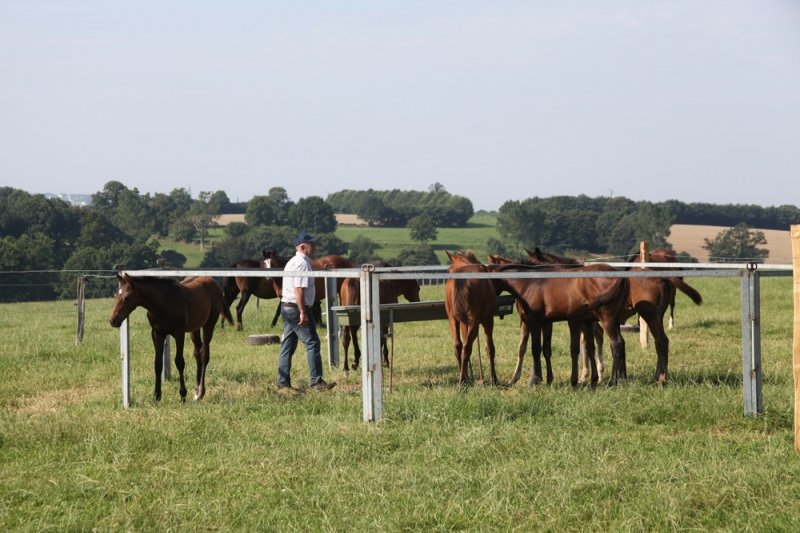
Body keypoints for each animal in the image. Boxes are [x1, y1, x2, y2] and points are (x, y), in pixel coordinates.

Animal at [444, 251, 499, 386]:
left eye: (448, 269)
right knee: (467, 347)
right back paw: (462, 382)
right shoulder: (488, 320)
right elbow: (490, 348)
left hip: (453, 320)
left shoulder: (464, 323)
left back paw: (464, 379)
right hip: (475, 323)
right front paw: (494, 379)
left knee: (458, 345)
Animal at [486, 261, 630, 386]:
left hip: (607, 320)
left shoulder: (534, 322)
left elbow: (535, 349)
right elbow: (546, 349)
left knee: (615, 343)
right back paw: (621, 378)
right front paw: (549, 379)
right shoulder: (546, 323)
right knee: (620, 343)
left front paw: (535, 379)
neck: (528, 282)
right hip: (614, 321)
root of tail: (620, 277)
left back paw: (613, 380)